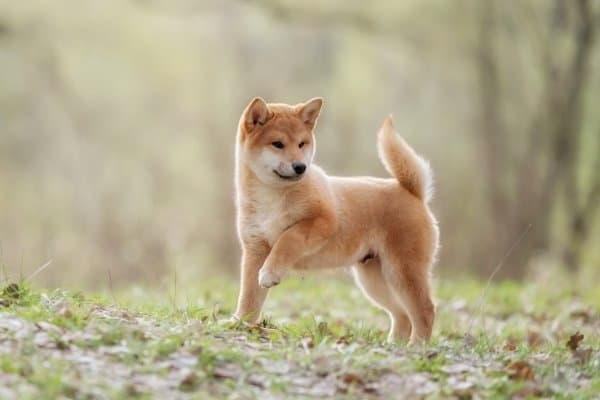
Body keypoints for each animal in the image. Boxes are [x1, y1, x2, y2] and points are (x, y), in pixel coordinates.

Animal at [232, 97, 438, 344]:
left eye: (301, 144)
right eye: (277, 144)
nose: (300, 167)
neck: (271, 195)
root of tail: (413, 193)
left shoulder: (323, 220)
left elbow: (288, 239)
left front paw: (271, 273)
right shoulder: (255, 249)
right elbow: (249, 297)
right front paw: (241, 323)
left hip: (403, 270)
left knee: (425, 310)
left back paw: (417, 346)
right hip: (375, 280)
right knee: (402, 315)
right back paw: (394, 344)